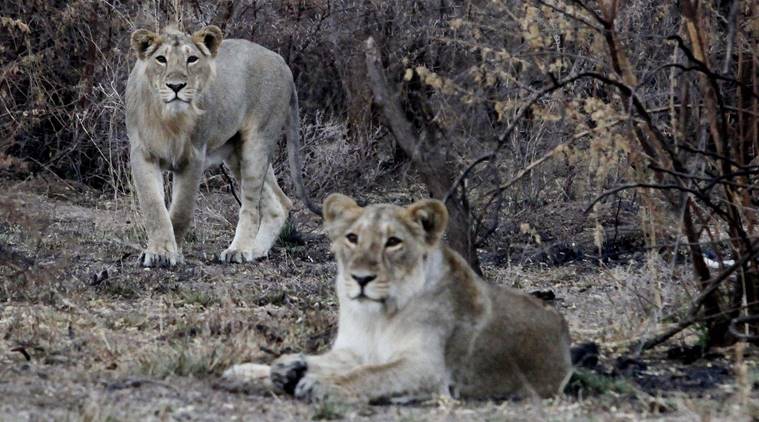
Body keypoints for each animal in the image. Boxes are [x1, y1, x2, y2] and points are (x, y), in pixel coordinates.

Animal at [126, 25, 319, 267]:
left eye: (192, 59)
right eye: (161, 59)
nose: (176, 86)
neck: (170, 120)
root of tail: (282, 61)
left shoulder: (194, 155)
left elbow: (180, 210)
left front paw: (173, 252)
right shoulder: (142, 154)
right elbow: (154, 207)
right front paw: (159, 252)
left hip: (257, 143)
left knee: (251, 206)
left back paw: (240, 251)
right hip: (237, 154)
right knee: (280, 202)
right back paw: (257, 250)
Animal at [222, 194, 573, 402]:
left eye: (393, 242)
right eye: (352, 238)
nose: (361, 278)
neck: (377, 316)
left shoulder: (427, 368)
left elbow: (371, 374)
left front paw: (326, 385)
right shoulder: (354, 349)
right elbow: (322, 360)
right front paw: (262, 370)